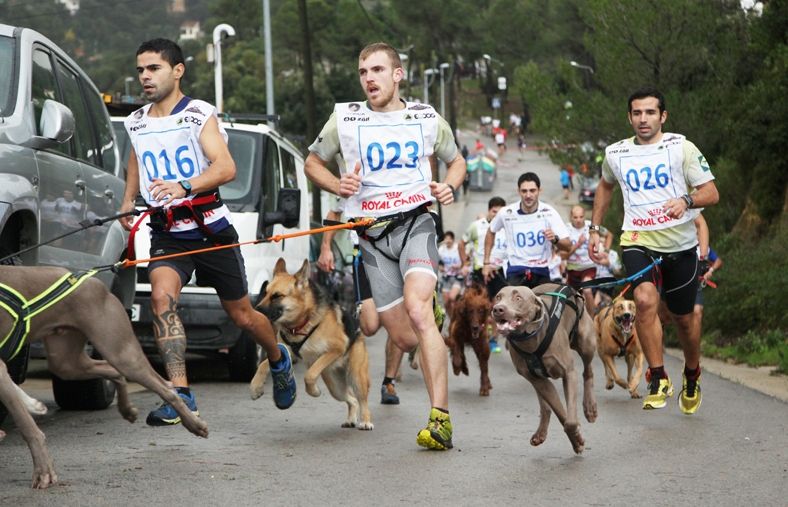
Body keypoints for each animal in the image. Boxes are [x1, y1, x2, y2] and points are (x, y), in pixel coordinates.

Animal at [0, 266, 209, 488]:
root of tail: (92, 279)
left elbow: (26, 425)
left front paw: (43, 472)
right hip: (66, 360)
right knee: (113, 371)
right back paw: (127, 410)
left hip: (119, 350)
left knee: (166, 387)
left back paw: (195, 425)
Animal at [252, 260, 376, 430]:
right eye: (265, 293)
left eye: (277, 296)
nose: (256, 310)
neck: (302, 323)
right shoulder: (284, 352)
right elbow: (263, 365)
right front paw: (255, 387)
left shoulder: (336, 349)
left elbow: (309, 375)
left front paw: (314, 391)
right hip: (335, 387)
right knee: (352, 399)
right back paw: (351, 419)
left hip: (356, 377)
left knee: (363, 400)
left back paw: (365, 421)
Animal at [492, 284, 596, 454]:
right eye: (498, 297)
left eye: (518, 298)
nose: (498, 309)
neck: (530, 339)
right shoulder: (537, 379)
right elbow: (562, 415)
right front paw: (576, 440)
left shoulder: (569, 372)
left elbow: (570, 421)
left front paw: (577, 438)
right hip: (538, 381)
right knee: (545, 407)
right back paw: (540, 433)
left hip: (586, 343)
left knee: (588, 371)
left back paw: (590, 408)